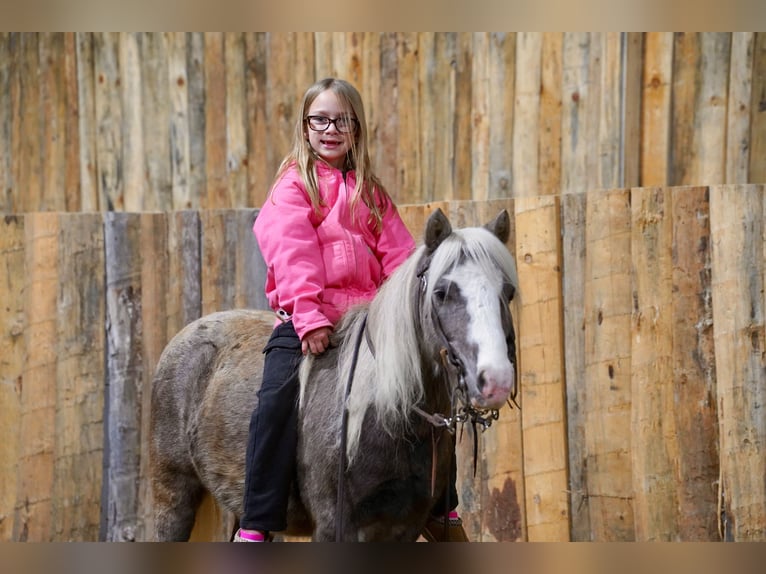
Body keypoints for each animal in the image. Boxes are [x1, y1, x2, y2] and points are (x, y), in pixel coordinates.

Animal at [149, 208, 519, 541]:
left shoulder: (404, 527)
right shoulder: (334, 527)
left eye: (508, 292)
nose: (495, 380)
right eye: (441, 293)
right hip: (171, 496)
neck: (384, 417)